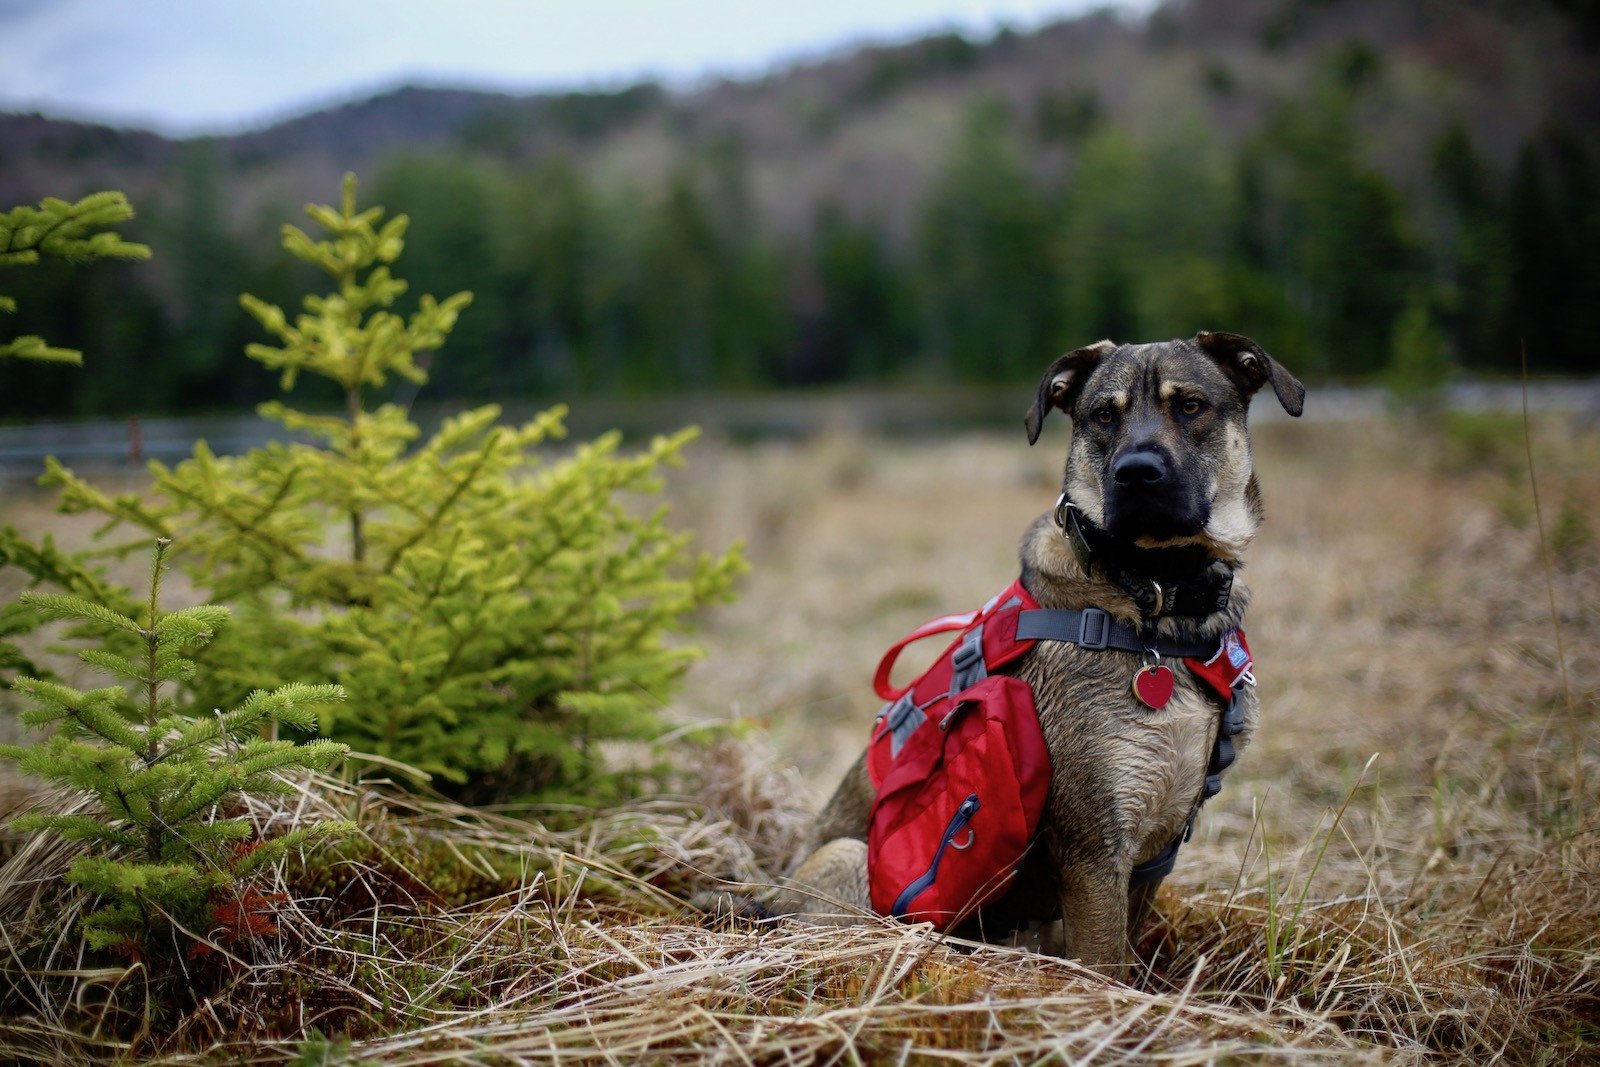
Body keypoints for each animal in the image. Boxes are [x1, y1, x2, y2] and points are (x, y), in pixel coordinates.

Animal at [720, 334, 1305, 979]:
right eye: (1104, 415)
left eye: (1191, 406)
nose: (1136, 473)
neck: (1154, 597)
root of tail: (771, 894)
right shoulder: (1095, 846)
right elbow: (1105, 964)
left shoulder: (1156, 844)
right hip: (847, 857)